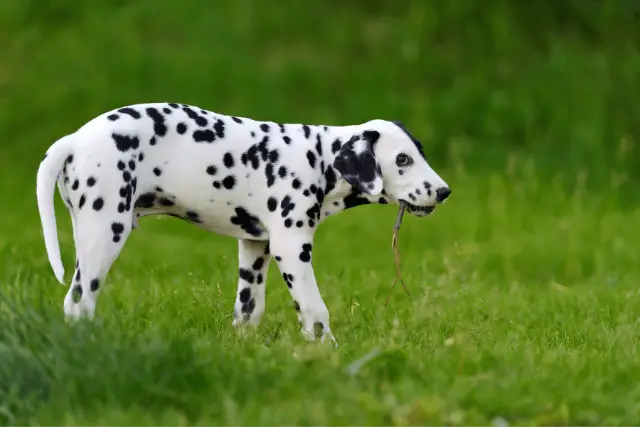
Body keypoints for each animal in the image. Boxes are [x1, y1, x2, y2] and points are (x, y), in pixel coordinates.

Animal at [36, 103, 450, 344]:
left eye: (419, 153)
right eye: (402, 160)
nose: (444, 191)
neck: (316, 157)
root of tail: (74, 139)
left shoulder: (256, 247)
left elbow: (249, 311)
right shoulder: (292, 247)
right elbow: (315, 311)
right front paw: (327, 353)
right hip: (104, 234)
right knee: (79, 302)